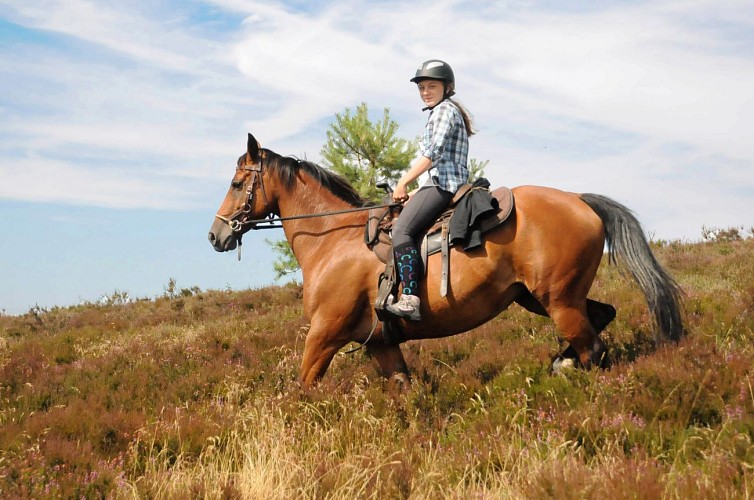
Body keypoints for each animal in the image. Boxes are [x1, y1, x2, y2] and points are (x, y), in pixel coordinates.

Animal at [206, 133, 680, 386]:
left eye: (236, 183)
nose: (216, 234)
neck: (334, 239)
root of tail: (579, 200)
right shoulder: (381, 344)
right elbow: (403, 389)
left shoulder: (324, 335)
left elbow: (302, 388)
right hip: (539, 297)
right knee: (602, 316)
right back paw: (561, 363)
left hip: (558, 301)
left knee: (592, 347)